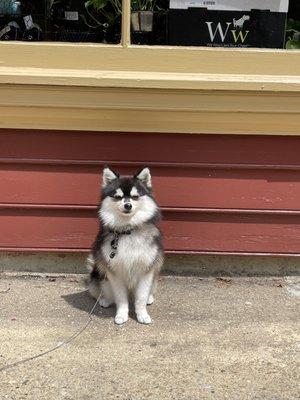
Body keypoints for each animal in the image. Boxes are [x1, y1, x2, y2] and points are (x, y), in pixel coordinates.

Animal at [86, 166, 164, 324]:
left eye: (135, 196)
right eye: (117, 197)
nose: (127, 205)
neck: (128, 230)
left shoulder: (146, 271)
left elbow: (140, 298)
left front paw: (142, 315)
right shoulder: (115, 272)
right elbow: (121, 298)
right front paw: (122, 315)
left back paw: (149, 298)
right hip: (99, 276)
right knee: (102, 291)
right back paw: (105, 300)